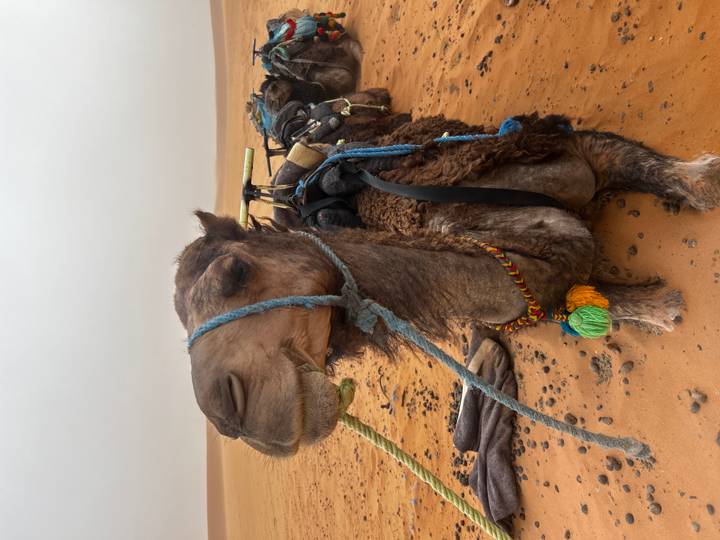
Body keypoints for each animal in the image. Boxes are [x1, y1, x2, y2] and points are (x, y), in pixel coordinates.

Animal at [174, 113, 719, 457]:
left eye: (234, 272)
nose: (232, 416)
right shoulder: (530, 292)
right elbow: (586, 296)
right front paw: (658, 307)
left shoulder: (573, 153)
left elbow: (649, 167)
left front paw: (705, 179)